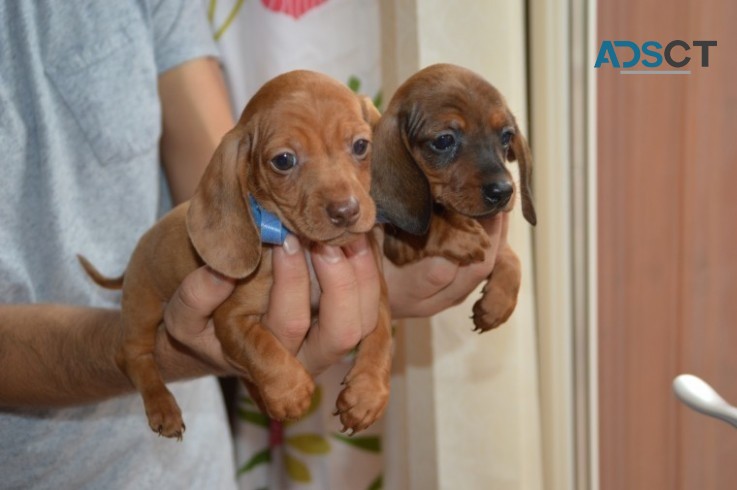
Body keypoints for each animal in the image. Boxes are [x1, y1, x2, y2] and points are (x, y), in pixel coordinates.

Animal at [77, 70, 392, 440]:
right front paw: (290, 390)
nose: (346, 211)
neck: (303, 248)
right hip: (143, 307)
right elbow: (261, 347)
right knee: (133, 356)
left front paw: (367, 393)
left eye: (361, 146)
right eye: (283, 161)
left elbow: (382, 339)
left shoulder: (376, 299)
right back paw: (161, 405)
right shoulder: (230, 320)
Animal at [370, 64, 536, 334]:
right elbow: (425, 230)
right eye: (444, 140)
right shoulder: (398, 244)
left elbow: (513, 259)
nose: (504, 191)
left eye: (506, 136)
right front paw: (461, 234)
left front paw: (498, 303)